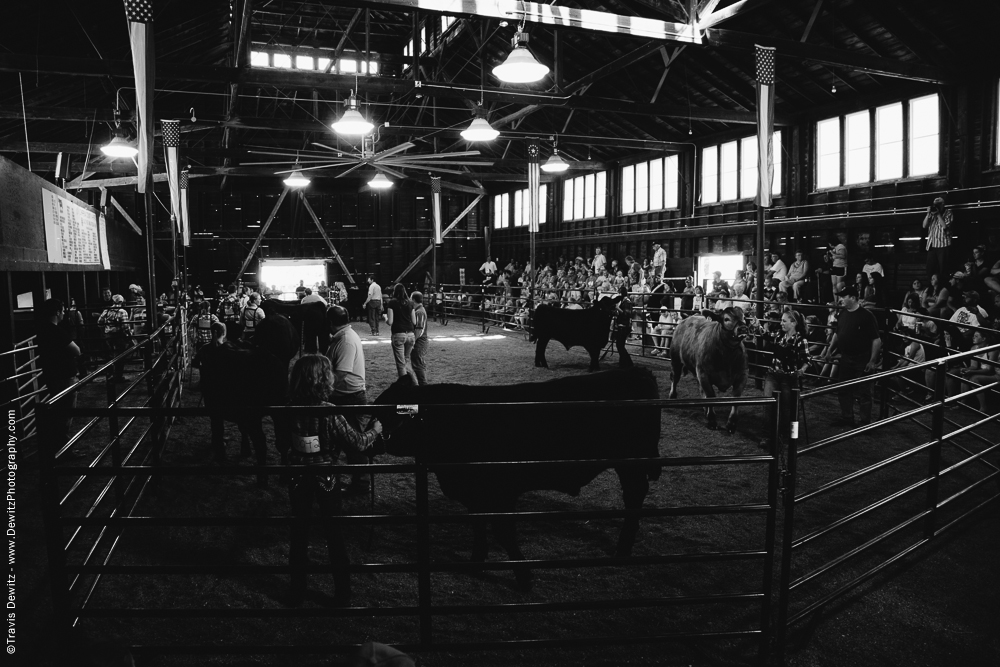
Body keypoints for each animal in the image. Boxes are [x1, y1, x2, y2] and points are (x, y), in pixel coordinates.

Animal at [372, 368, 660, 592]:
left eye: (387, 413)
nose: (375, 441)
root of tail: (637, 371)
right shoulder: (475, 494)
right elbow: (479, 525)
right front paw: (477, 561)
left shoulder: (501, 492)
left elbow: (503, 531)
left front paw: (523, 577)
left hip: (631, 465)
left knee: (634, 496)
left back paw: (623, 549)